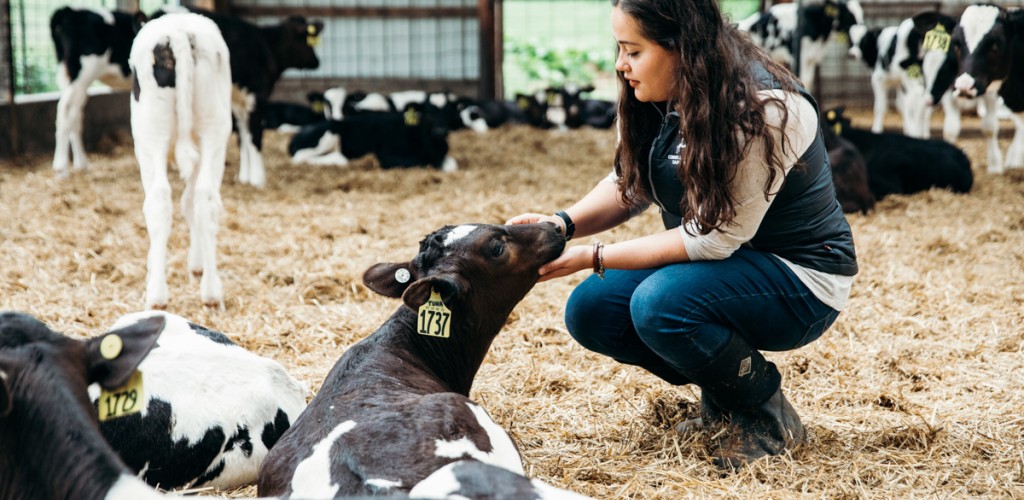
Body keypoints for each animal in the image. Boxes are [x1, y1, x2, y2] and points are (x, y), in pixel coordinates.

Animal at [49, 6, 142, 176]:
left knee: (75, 115)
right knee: (65, 111)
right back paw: (61, 167)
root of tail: (69, 11)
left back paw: (80, 164)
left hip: (70, 76)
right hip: (82, 74)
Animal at [129, 12, 233, 310]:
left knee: (158, 201)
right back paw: (211, 292)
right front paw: (197, 264)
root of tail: (177, 31)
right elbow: (189, 202)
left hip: (150, 135)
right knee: (205, 198)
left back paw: (156, 294)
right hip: (214, 129)